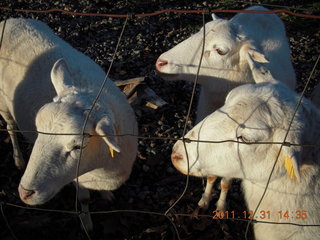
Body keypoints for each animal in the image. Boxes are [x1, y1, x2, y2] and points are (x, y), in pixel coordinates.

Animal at [0, 17, 138, 230]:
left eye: (78, 146)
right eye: (39, 130)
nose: (25, 193)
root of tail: (10, 20)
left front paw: (106, 195)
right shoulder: (78, 179)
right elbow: (84, 200)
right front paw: (87, 224)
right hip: (3, 103)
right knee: (10, 127)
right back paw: (18, 158)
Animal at [156, 5, 296, 212]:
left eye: (220, 51)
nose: (161, 62)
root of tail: (260, 6)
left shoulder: (234, 155)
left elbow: (225, 182)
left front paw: (221, 207)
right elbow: (211, 176)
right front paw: (204, 200)